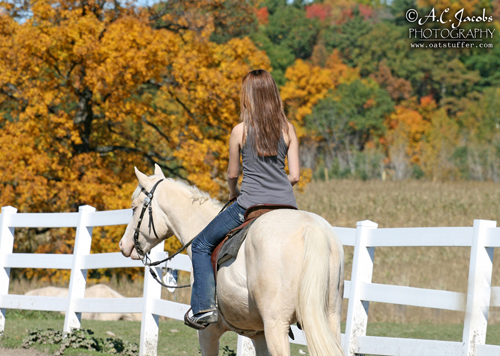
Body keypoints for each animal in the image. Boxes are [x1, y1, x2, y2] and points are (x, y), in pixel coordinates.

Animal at [119, 165, 346, 356]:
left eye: (134, 208)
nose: (123, 245)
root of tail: (311, 229)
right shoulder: (258, 335)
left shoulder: (208, 332)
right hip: (329, 320)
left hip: (277, 326)